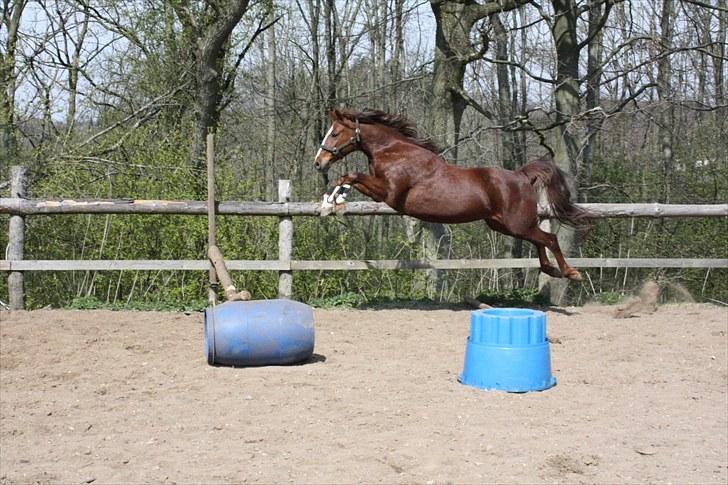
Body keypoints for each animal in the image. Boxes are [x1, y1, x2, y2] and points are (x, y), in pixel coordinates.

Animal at [313, 109, 590, 281]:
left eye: (335, 133)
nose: (318, 162)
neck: (393, 151)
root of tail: (521, 175)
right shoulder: (380, 192)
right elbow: (346, 179)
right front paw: (330, 203)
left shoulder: (388, 193)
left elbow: (351, 175)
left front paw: (333, 202)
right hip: (504, 225)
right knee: (540, 240)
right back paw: (551, 270)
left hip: (516, 223)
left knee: (549, 239)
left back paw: (570, 273)